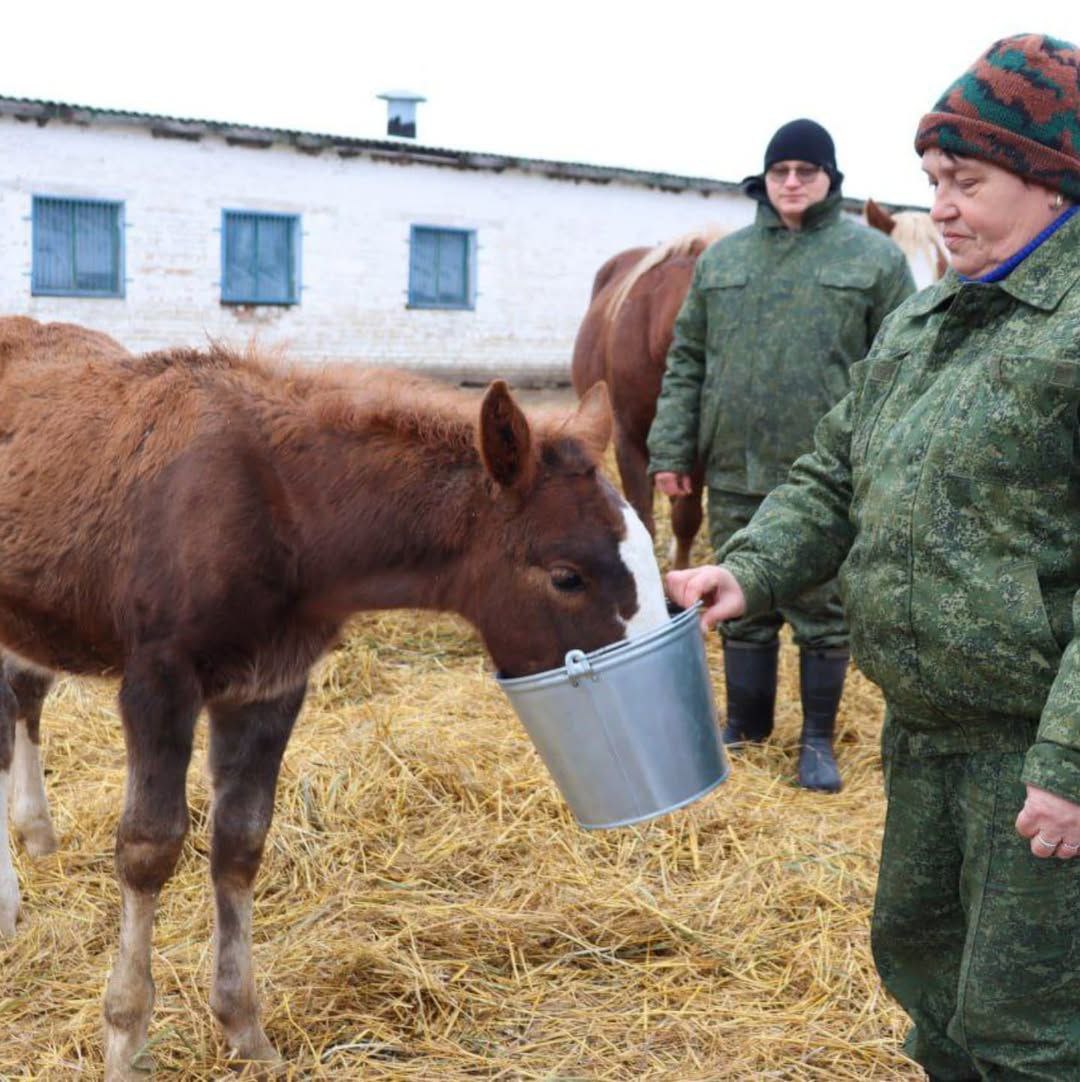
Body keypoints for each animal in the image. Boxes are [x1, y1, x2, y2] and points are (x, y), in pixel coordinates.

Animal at [0, 316, 669, 1080]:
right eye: (566, 576)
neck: (279, 507)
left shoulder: (270, 684)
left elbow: (241, 841)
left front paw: (245, 1031)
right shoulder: (159, 677)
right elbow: (149, 846)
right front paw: (124, 1038)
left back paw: (32, 845)